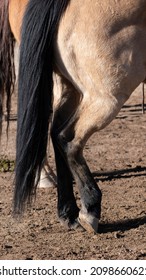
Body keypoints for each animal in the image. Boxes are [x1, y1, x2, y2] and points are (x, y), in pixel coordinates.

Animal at [0, 0, 146, 233]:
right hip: (106, 98)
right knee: (68, 139)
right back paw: (89, 210)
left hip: (71, 89)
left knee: (54, 131)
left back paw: (68, 213)